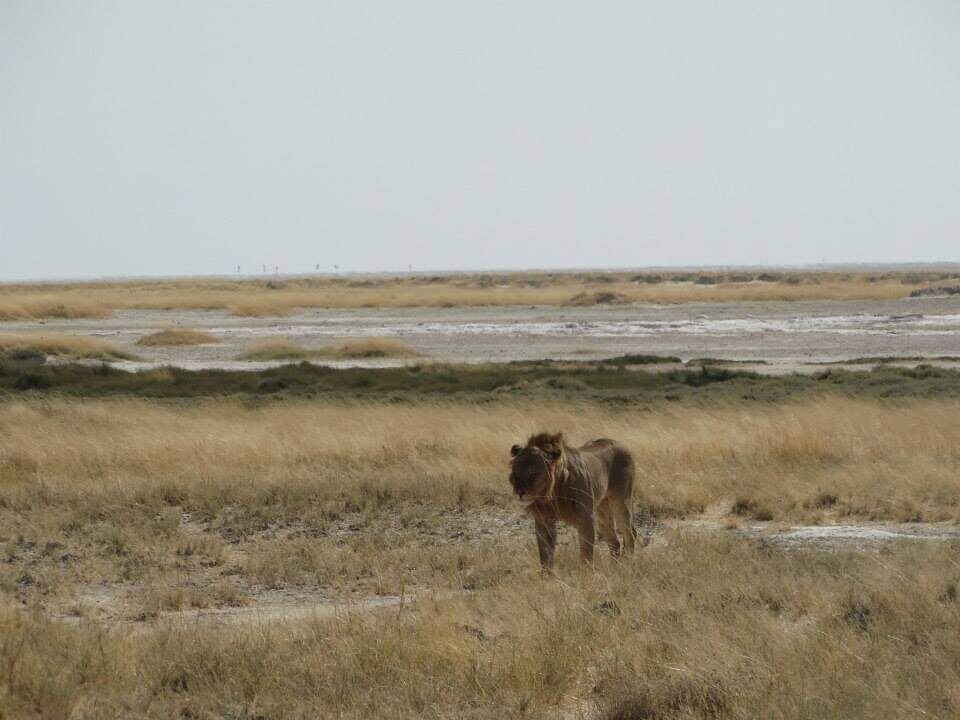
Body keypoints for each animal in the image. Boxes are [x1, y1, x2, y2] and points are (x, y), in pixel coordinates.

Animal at [509, 431, 638, 570]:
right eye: (515, 472)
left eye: (533, 473)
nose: (519, 492)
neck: (551, 494)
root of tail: (619, 443)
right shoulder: (544, 521)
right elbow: (545, 556)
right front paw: (547, 575)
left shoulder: (585, 520)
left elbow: (586, 555)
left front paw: (586, 574)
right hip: (602, 510)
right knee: (614, 540)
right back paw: (613, 567)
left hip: (621, 502)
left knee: (630, 534)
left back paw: (628, 564)